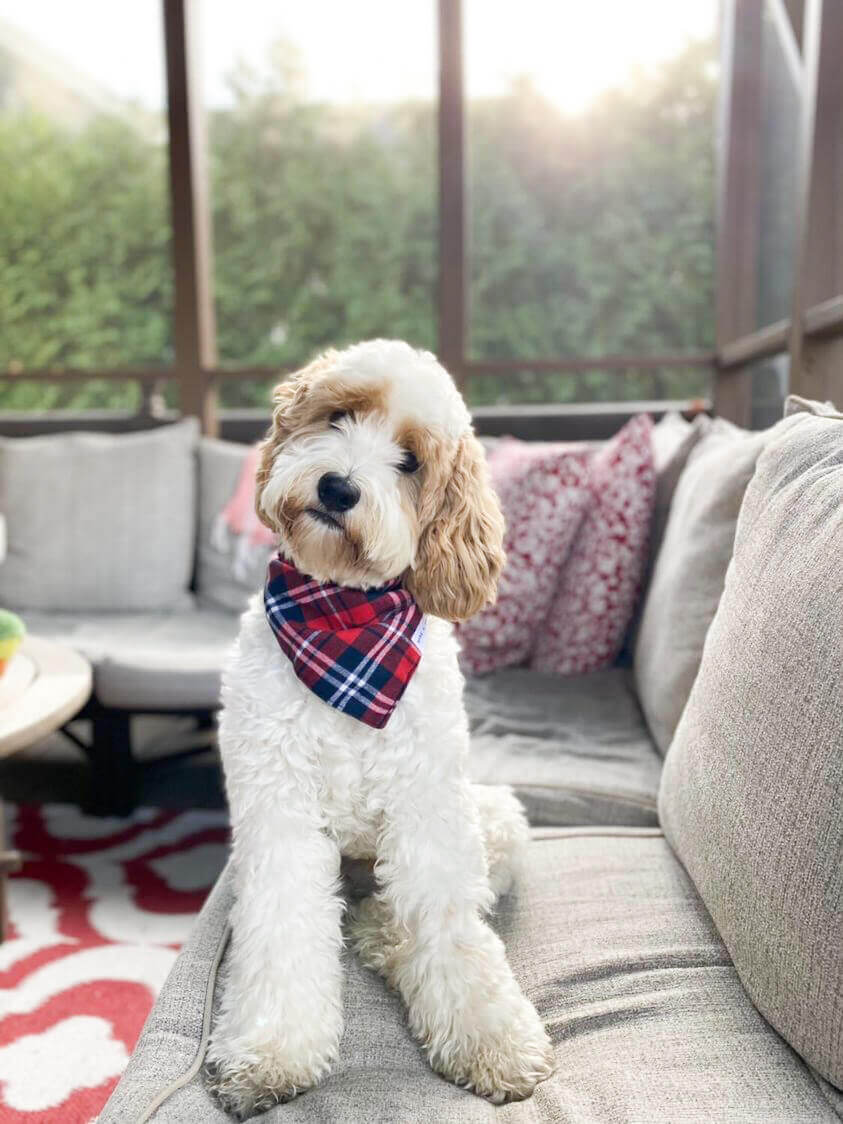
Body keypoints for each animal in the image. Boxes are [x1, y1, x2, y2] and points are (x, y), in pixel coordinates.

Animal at [209, 334, 557, 1115]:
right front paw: (272, 1053)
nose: (339, 488)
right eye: (337, 416)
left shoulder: (429, 807)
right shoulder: (277, 810)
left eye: (411, 461)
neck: (343, 630)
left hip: (494, 817)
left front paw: (490, 1038)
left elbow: (451, 929)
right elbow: (282, 927)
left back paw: (380, 933)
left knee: (406, 915)